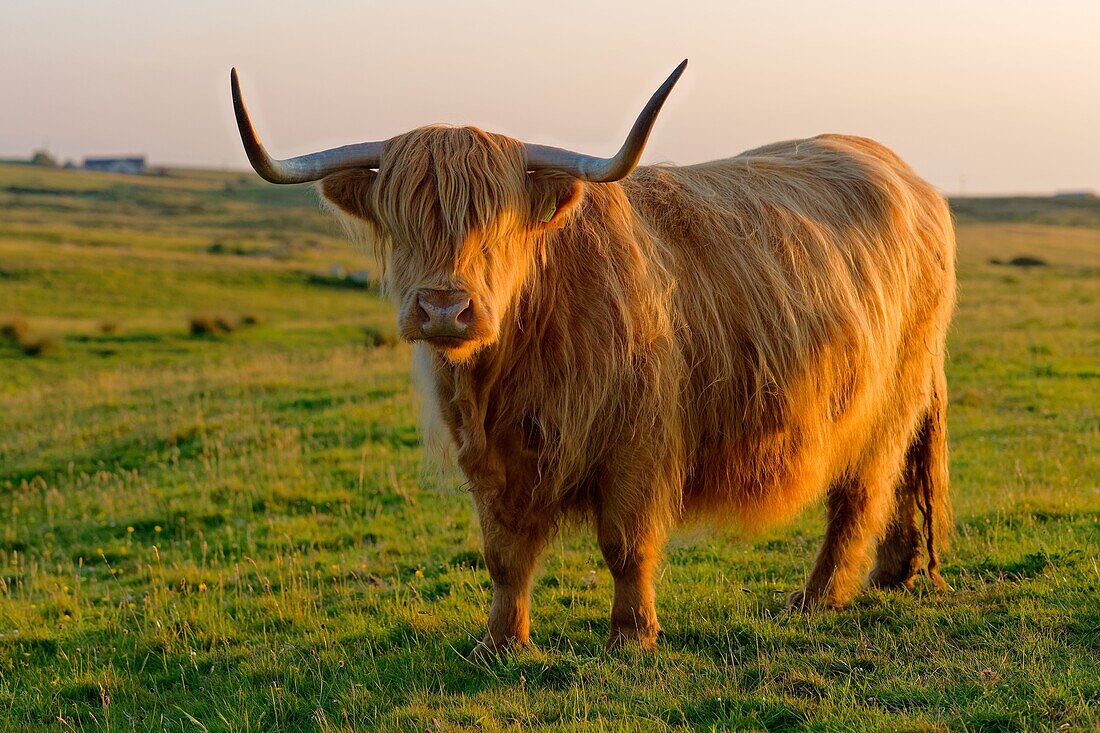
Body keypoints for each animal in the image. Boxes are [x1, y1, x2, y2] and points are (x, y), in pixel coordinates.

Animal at [229, 59, 954, 647]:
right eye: (402, 221)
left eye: (497, 226)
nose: (443, 309)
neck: (510, 367)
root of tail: (910, 178)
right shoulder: (487, 459)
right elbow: (503, 554)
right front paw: (502, 641)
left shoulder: (639, 442)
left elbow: (625, 543)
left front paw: (632, 635)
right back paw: (892, 572)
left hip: (886, 397)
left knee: (860, 492)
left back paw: (816, 597)